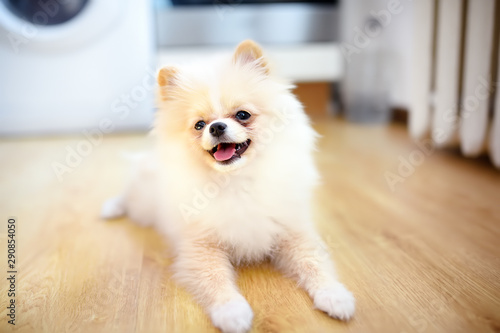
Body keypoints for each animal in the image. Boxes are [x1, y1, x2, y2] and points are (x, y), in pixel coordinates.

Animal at [102, 39, 356, 332]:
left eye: (242, 115)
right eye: (199, 125)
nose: (216, 127)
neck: (236, 179)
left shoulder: (293, 232)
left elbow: (314, 264)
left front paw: (334, 295)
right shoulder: (201, 246)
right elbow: (214, 278)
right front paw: (232, 311)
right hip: (142, 203)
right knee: (127, 195)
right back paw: (111, 207)